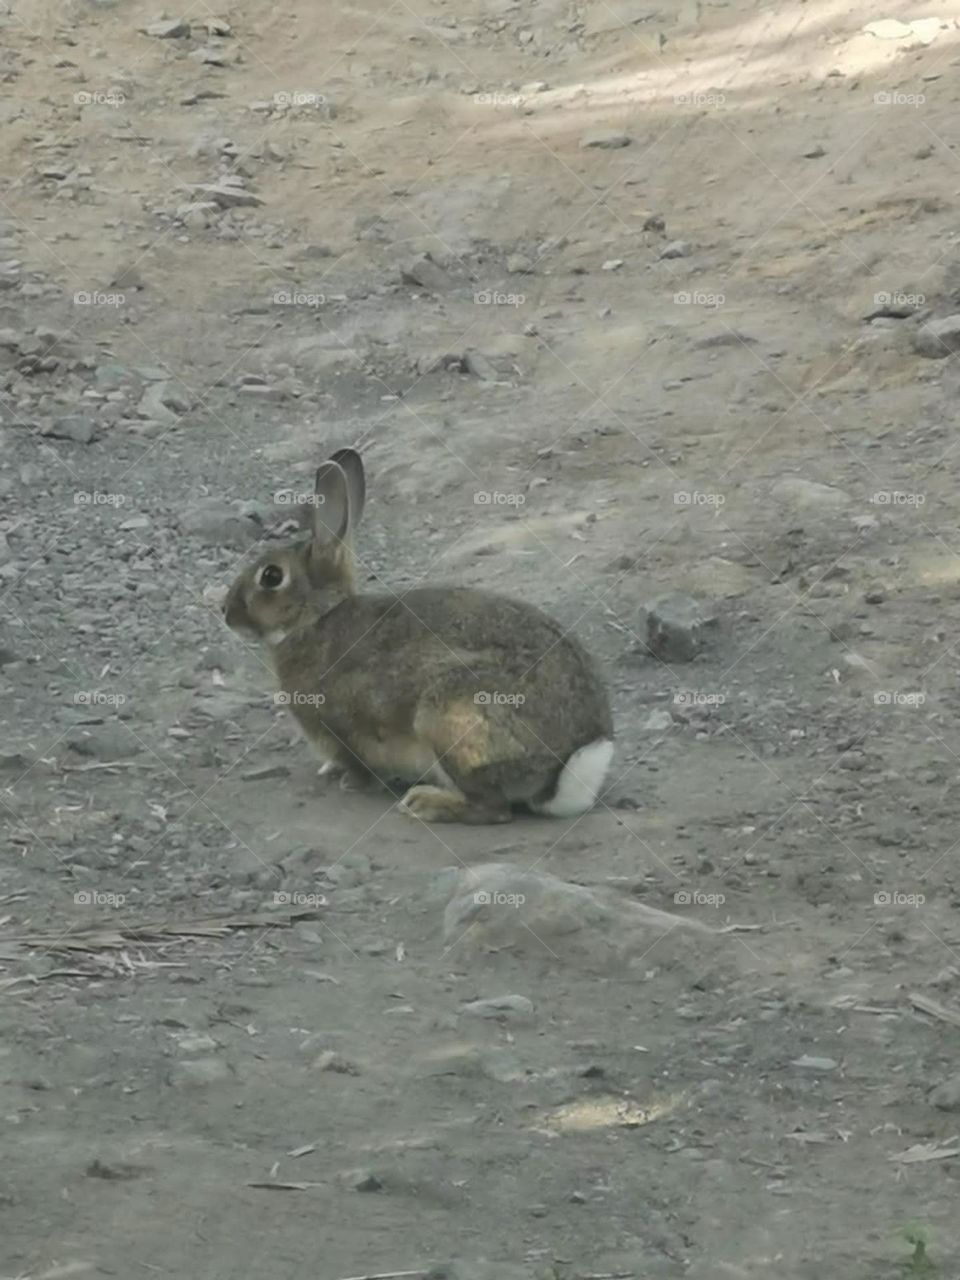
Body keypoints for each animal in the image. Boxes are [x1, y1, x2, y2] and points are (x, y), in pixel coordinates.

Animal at [223, 448, 614, 824]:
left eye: (271, 576)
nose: (226, 612)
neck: (318, 618)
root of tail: (567, 766)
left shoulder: (345, 729)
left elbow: (358, 761)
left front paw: (351, 782)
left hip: (448, 715)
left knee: (493, 809)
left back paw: (425, 803)